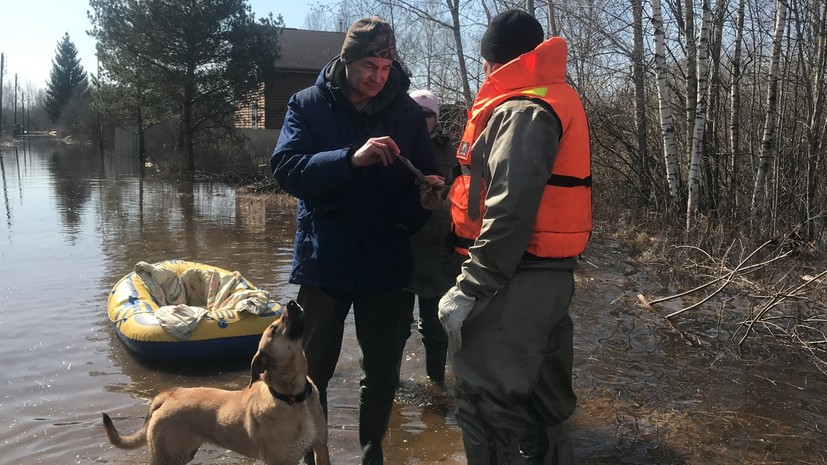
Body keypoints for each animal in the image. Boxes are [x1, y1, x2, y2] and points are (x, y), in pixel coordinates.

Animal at [100, 300, 326, 462]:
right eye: (274, 329)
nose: (291, 302)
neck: (293, 396)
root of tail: (166, 396)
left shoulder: (320, 448)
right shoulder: (280, 460)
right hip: (167, 456)